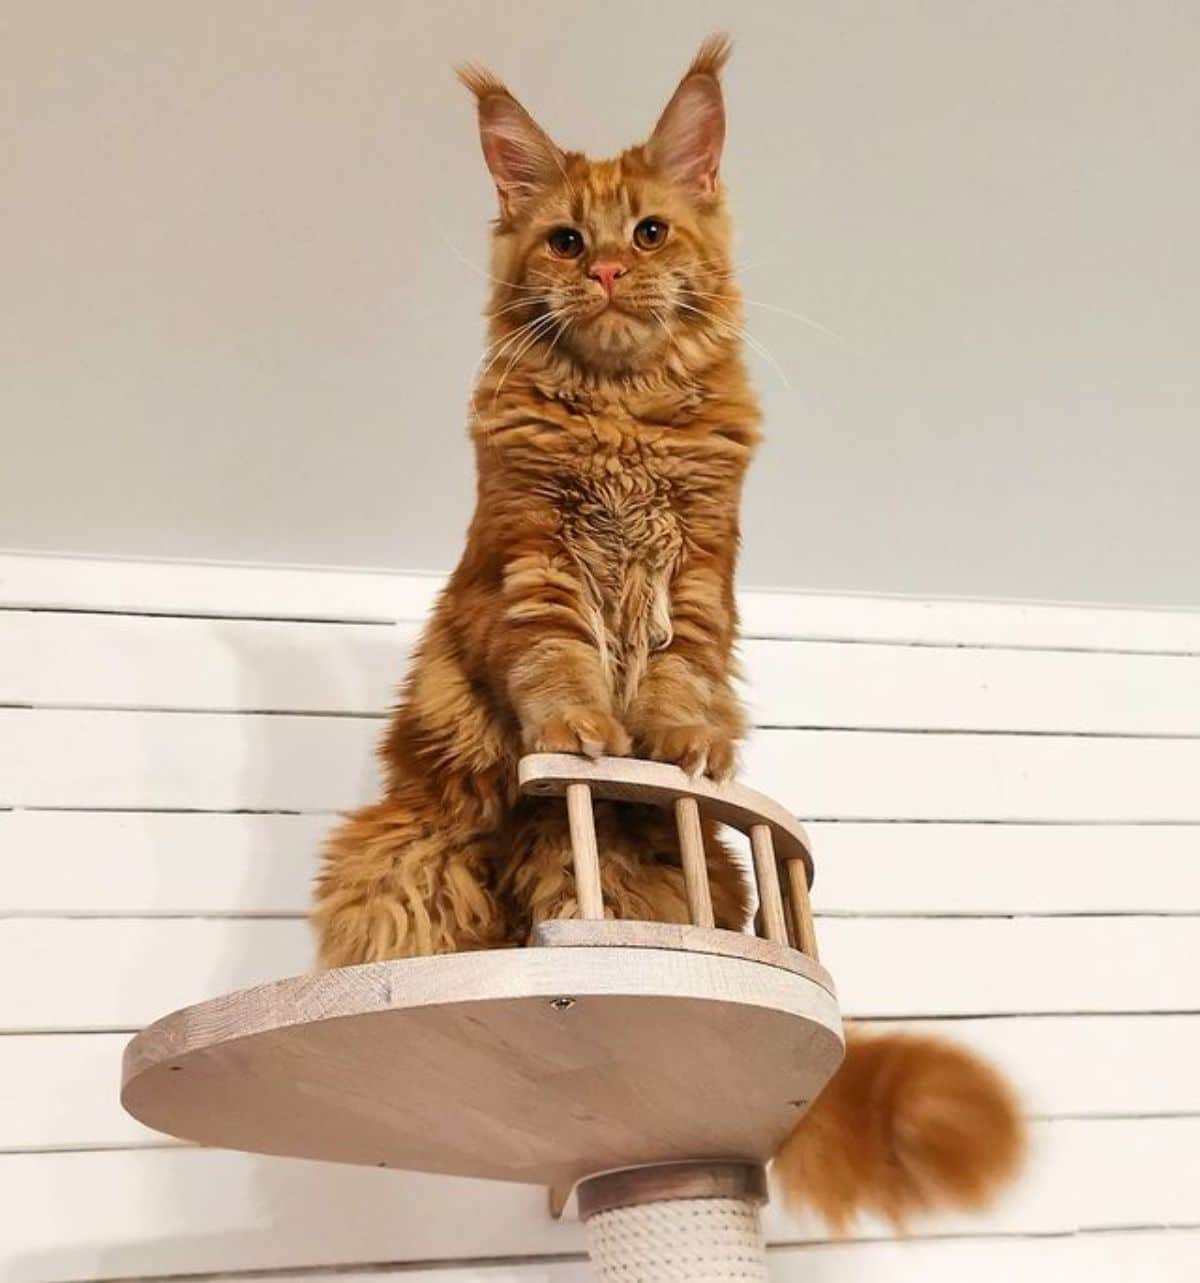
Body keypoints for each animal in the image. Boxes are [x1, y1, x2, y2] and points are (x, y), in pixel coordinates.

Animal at [311, 35, 1021, 1226]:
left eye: (646, 232)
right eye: (565, 239)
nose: (602, 271)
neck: (621, 413)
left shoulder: (697, 575)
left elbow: (683, 679)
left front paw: (673, 745)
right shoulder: (533, 569)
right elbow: (561, 668)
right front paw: (587, 733)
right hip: (406, 862)